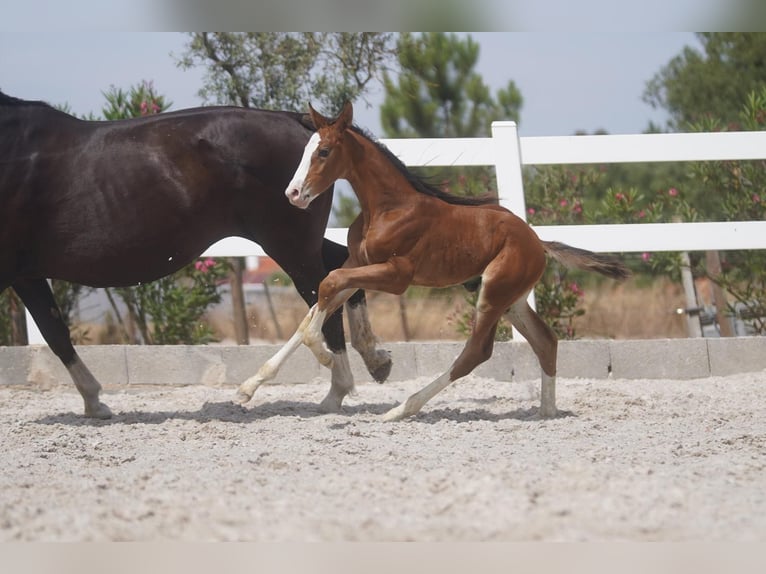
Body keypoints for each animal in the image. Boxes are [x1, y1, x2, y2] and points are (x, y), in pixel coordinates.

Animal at [0, 92, 392, 420]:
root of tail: (299, 121)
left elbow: (54, 332)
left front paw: (95, 401)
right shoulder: (27, 274)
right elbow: (54, 331)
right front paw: (94, 402)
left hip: (287, 243)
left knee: (324, 294)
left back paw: (337, 386)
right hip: (293, 242)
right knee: (341, 274)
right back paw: (374, 360)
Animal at [238, 101, 632, 420]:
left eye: (323, 151)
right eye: (306, 150)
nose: (292, 193)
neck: (387, 207)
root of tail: (537, 241)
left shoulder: (396, 275)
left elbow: (326, 287)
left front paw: (324, 356)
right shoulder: (356, 264)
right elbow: (320, 299)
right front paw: (249, 386)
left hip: (493, 294)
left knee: (477, 352)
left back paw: (400, 410)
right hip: (513, 299)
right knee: (545, 341)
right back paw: (546, 411)